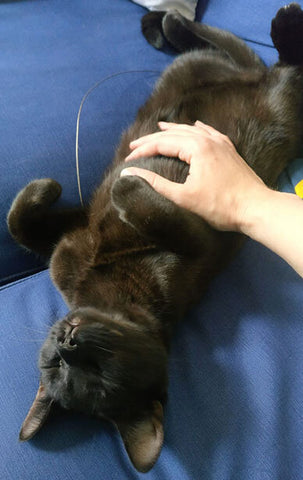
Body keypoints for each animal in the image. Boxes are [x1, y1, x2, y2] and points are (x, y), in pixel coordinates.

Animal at [5, 1, 303, 470]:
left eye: (97, 372)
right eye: (59, 369)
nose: (67, 341)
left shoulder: (184, 234)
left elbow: (23, 221)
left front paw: (62, 186)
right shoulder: (78, 237)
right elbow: (28, 225)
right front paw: (104, 185)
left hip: (222, 81)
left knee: (251, 56)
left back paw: (186, 24)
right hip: (232, 79)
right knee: (260, 61)